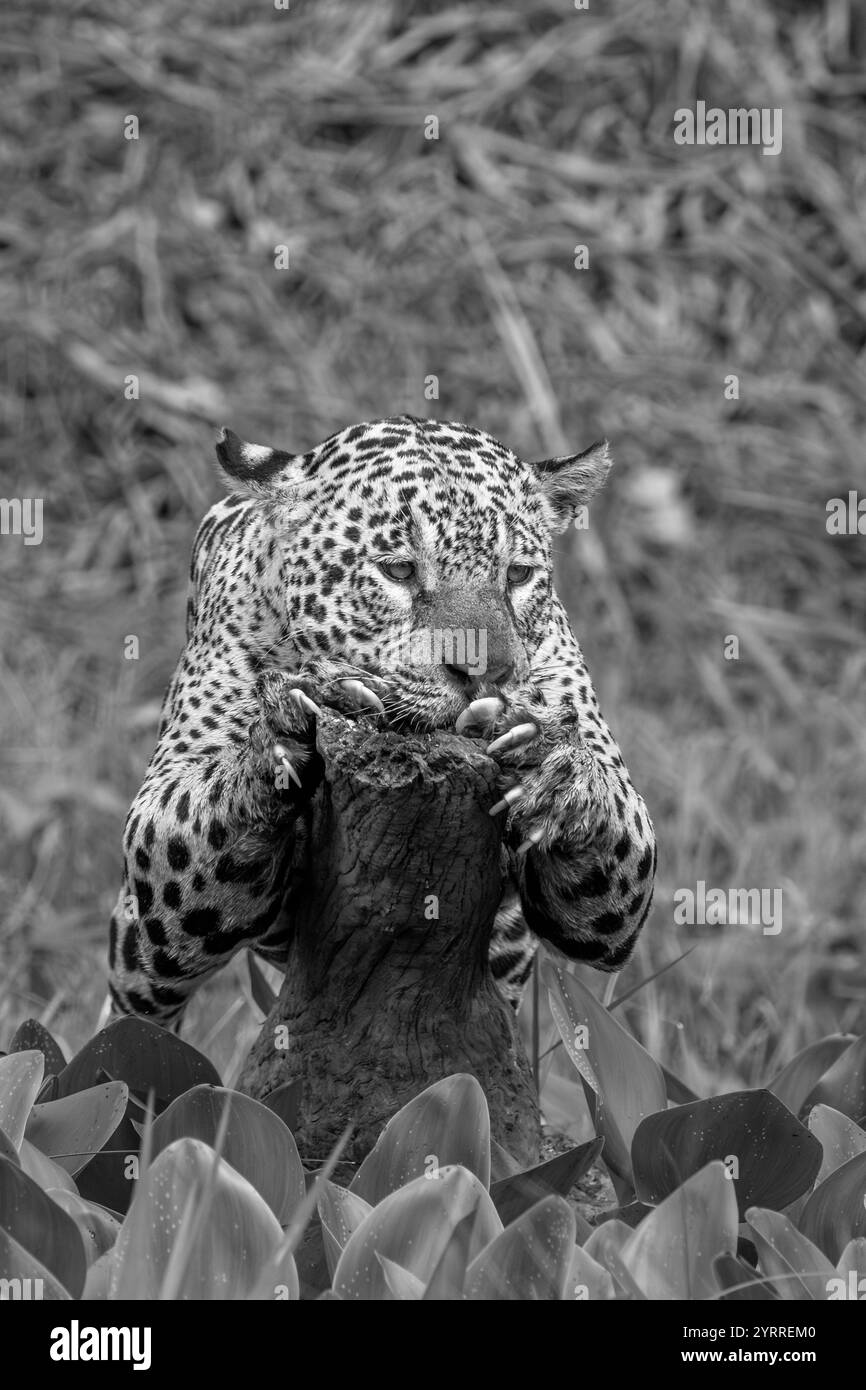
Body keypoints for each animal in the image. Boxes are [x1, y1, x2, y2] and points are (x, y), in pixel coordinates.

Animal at [108, 415, 656, 1026]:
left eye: (518, 574)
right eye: (399, 570)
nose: (486, 673)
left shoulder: (623, 886)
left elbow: (616, 816)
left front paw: (555, 769)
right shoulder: (160, 812)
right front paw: (293, 727)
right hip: (146, 953)